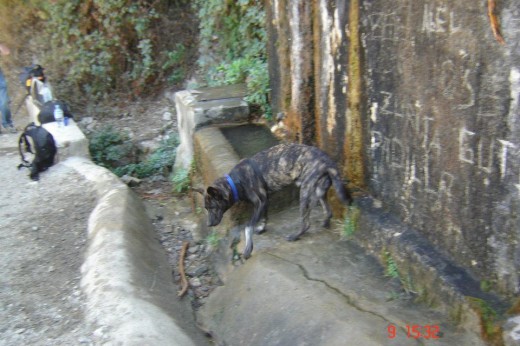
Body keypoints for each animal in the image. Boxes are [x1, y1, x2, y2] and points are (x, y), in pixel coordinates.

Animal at [197, 142, 352, 258]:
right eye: (206, 208)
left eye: (213, 207)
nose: (209, 224)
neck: (236, 181)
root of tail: (328, 161)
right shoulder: (265, 201)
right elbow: (264, 217)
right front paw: (261, 228)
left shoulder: (260, 202)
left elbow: (248, 226)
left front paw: (248, 249)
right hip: (319, 192)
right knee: (328, 210)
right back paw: (325, 223)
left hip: (304, 193)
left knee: (306, 223)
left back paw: (295, 236)